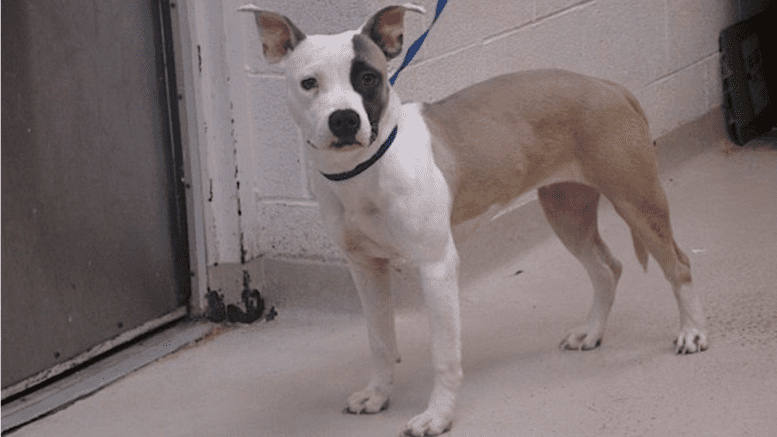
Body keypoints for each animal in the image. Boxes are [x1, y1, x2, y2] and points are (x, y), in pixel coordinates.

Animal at [239, 4, 708, 436]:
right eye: (309, 83)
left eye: (368, 78)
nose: (344, 119)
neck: (366, 169)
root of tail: (608, 85)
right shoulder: (364, 268)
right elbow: (379, 340)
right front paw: (377, 395)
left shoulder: (437, 267)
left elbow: (444, 356)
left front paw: (437, 416)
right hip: (566, 211)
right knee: (607, 268)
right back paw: (591, 332)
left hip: (637, 200)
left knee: (679, 264)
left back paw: (691, 333)